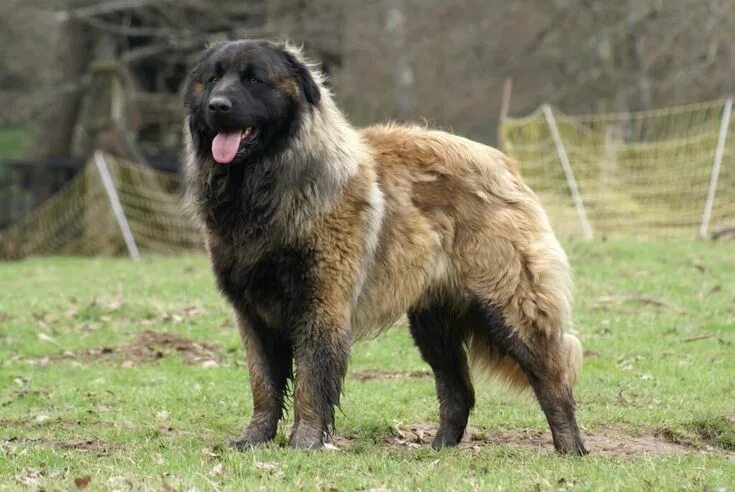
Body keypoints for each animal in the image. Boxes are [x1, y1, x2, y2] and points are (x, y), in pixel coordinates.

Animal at [183, 38, 588, 454]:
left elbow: (310, 382)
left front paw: (305, 442)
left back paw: (570, 448)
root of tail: (503, 163)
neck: (264, 188)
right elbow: (263, 383)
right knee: (458, 389)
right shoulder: (254, 315)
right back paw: (438, 448)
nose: (218, 106)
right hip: (433, 324)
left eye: (254, 79)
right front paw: (254, 438)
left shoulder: (321, 305)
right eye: (212, 79)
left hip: (506, 307)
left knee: (553, 376)